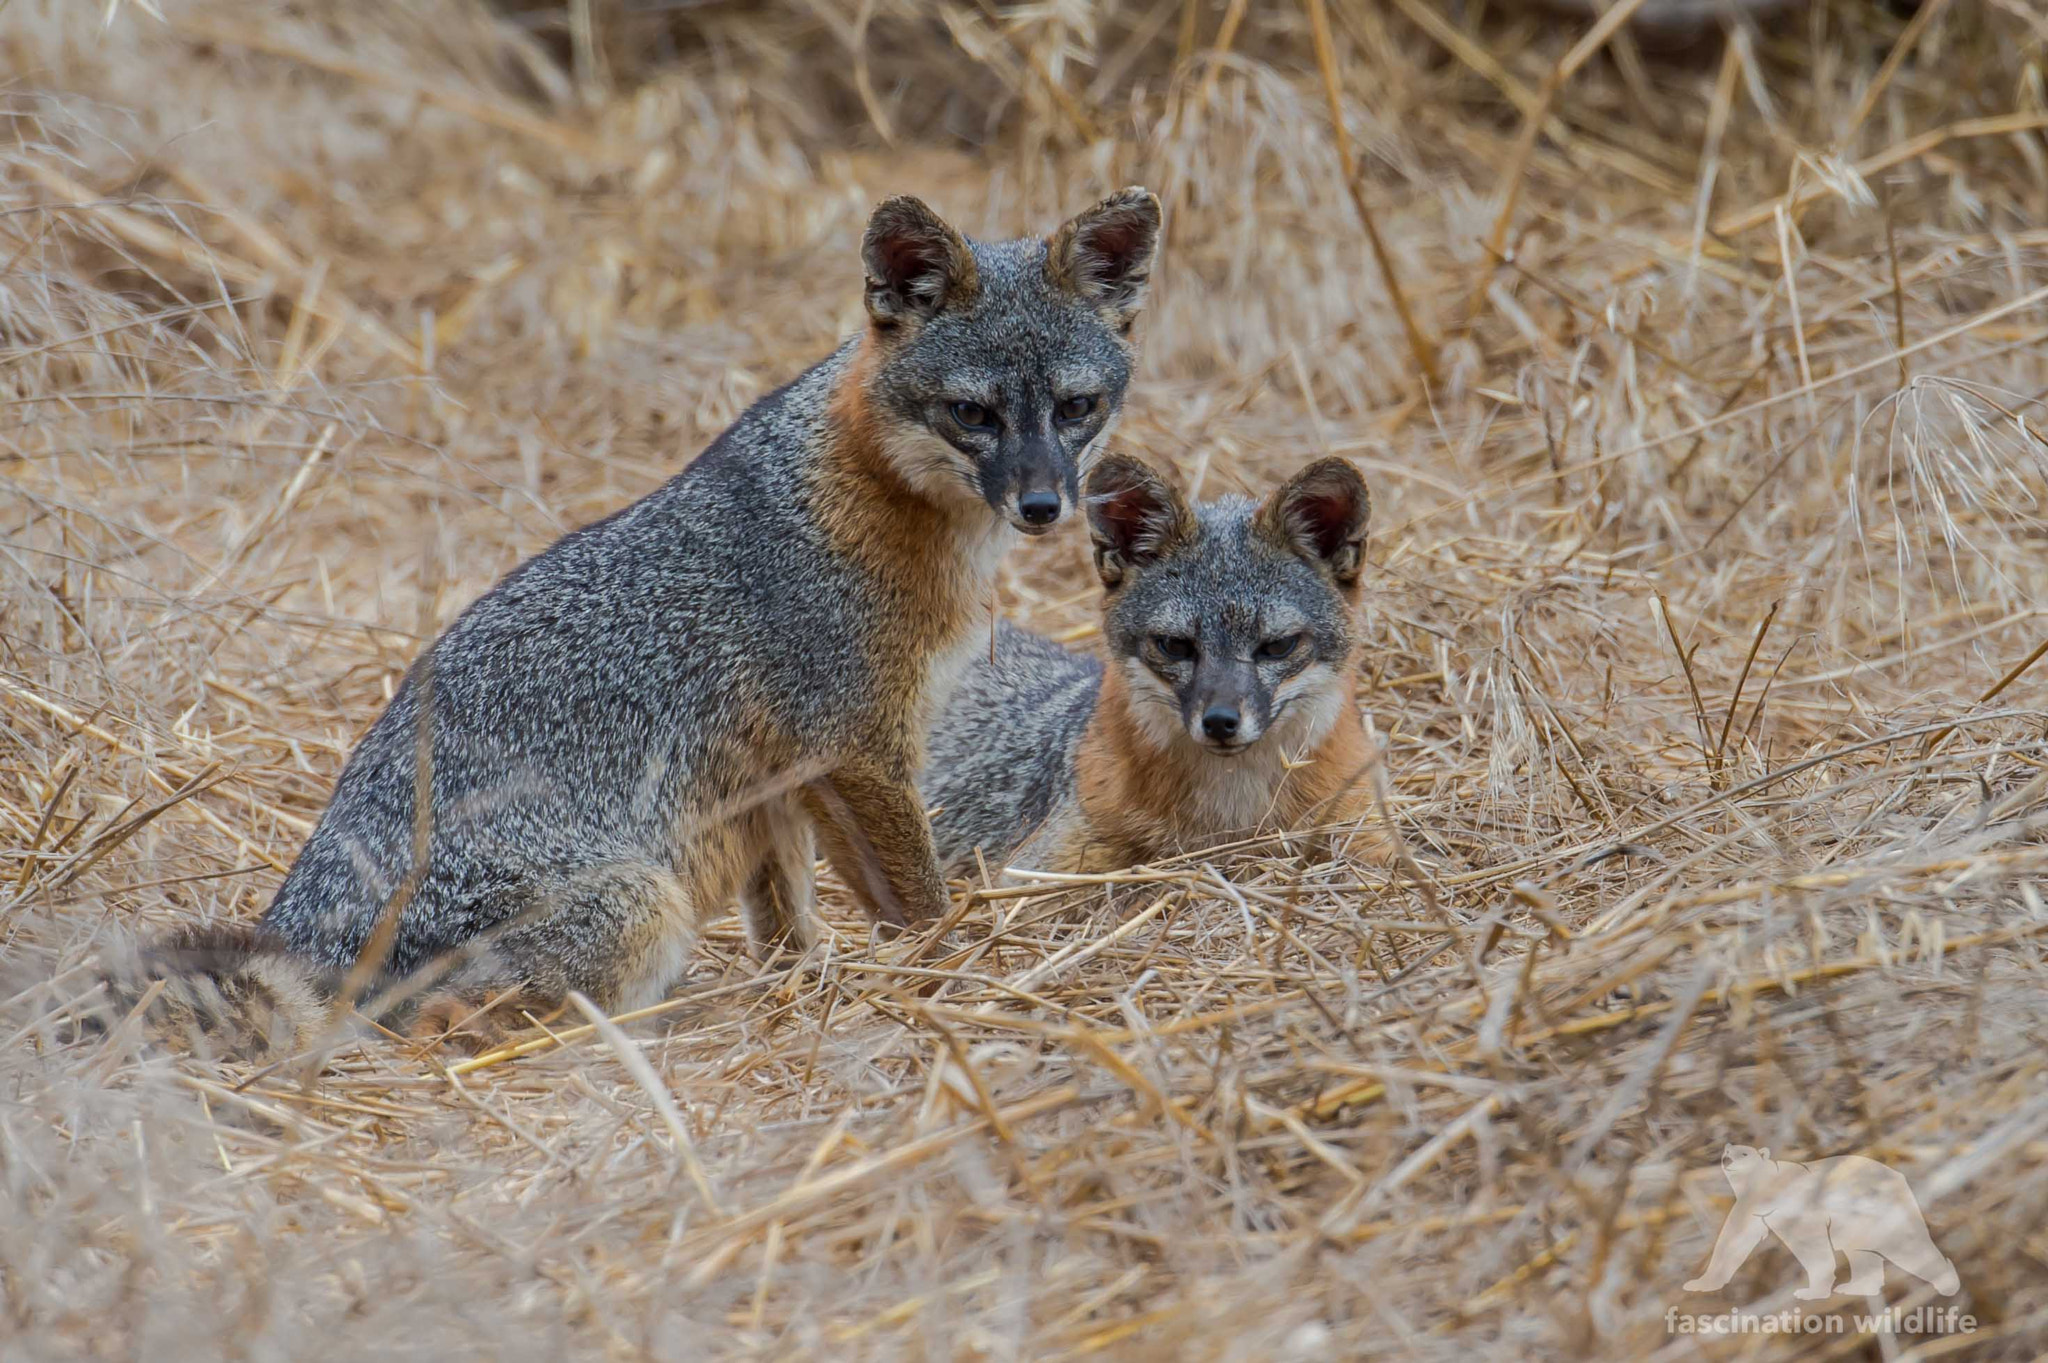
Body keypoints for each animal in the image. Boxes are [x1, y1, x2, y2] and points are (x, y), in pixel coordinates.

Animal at [80, 188, 1163, 1060]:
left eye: (1075, 407)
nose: (1043, 506)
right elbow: (919, 904)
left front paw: (811, 988)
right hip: (644, 899)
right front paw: (951, 976)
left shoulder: (777, 781)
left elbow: (789, 920)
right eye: (972, 414)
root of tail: (301, 934)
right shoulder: (857, 749)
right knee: (444, 1029)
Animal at [922, 452, 1385, 879]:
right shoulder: (1038, 870)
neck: (1234, 818)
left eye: (1277, 647)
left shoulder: (1363, 833)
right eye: (1175, 646)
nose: (1220, 722)